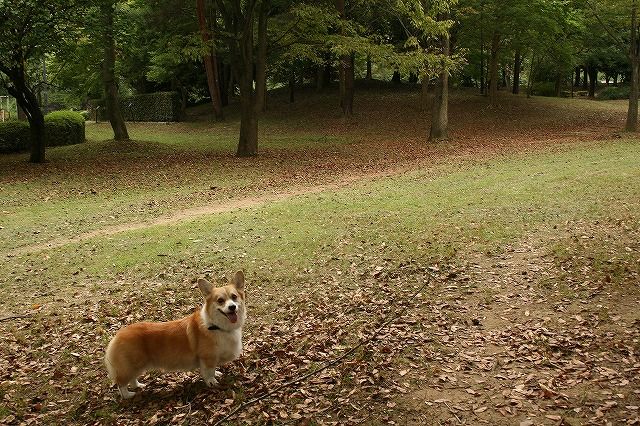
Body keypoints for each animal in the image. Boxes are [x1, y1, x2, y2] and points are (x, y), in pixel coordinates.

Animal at [104, 272, 246, 398]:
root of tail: (118, 335)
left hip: (137, 366)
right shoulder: (207, 358)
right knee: (121, 384)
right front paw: (212, 382)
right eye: (220, 300)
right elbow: (208, 372)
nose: (232, 307)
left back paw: (139, 386)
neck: (217, 326)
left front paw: (216, 374)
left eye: (234, 297)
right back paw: (128, 395)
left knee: (132, 379)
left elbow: (211, 370)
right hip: (131, 366)